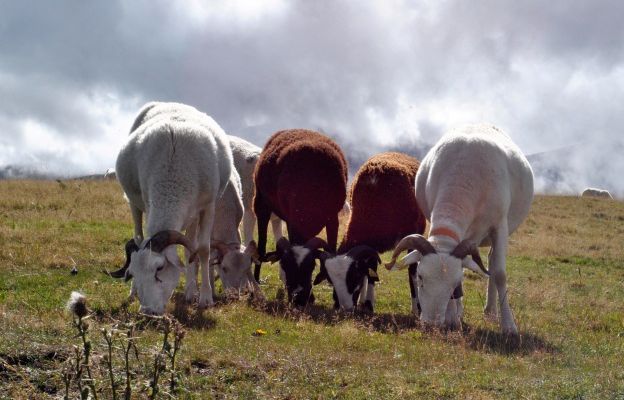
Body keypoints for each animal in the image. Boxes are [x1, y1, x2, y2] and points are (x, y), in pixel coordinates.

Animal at [386, 124, 532, 334]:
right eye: (420, 277)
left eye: (453, 284)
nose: (431, 325)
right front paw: (453, 317)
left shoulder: (500, 226)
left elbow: (499, 274)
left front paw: (509, 326)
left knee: (492, 263)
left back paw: (491, 312)